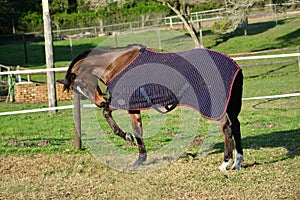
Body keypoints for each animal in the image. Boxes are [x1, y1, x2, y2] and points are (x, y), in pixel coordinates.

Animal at [60, 44, 244, 170]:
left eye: (83, 84)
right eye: (77, 90)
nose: (100, 102)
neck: (117, 64)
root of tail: (235, 65)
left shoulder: (121, 101)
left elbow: (107, 115)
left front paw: (126, 136)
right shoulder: (134, 107)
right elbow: (138, 131)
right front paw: (140, 159)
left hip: (217, 106)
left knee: (226, 127)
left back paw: (225, 163)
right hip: (230, 106)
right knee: (235, 126)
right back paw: (237, 162)